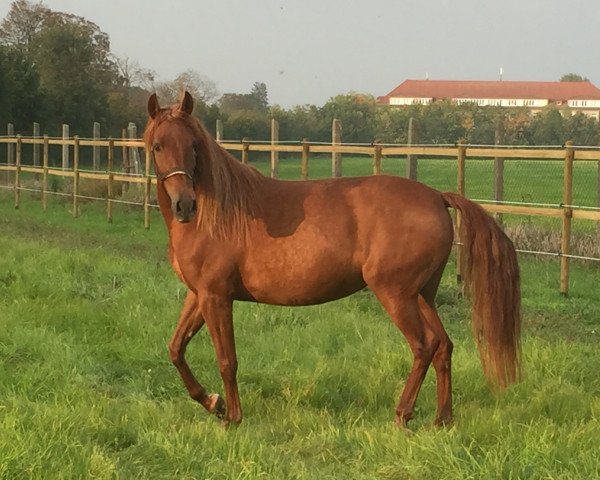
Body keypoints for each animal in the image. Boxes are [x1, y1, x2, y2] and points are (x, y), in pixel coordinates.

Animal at [144, 93, 520, 428]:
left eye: (193, 145)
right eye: (158, 146)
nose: (184, 205)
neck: (218, 212)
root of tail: (435, 196)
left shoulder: (216, 297)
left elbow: (227, 360)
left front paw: (232, 416)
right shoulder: (198, 295)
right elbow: (176, 349)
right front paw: (213, 402)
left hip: (396, 294)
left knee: (423, 345)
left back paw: (403, 414)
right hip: (423, 295)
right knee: (443, 346)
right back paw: (442, 418)